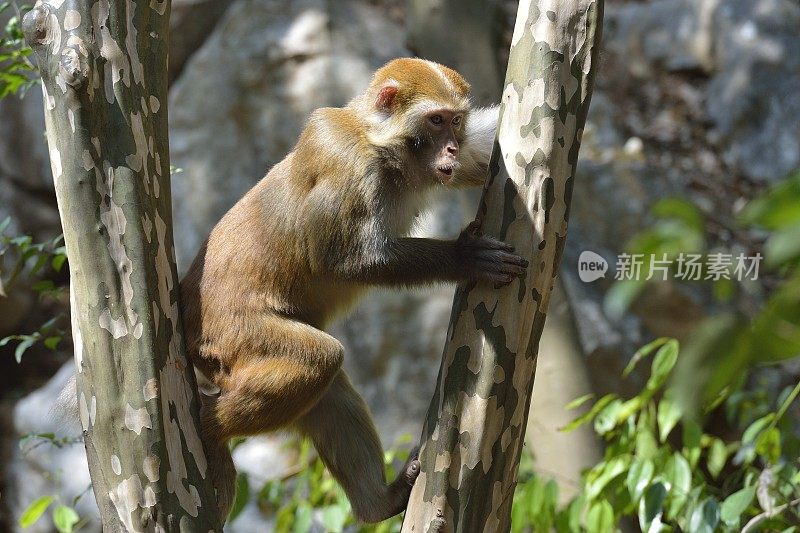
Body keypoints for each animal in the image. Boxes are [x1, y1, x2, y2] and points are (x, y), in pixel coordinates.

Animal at [180, 57, 528, 520]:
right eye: (435, 121)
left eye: (456, 121)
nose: (452, 148)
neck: (383, 147)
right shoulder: (347, 161)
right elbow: (343, 259)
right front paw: (465, 257)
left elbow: (483, 152)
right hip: (229, 335)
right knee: (319, 359)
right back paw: (209, 427)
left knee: (329, 394)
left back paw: (378, 503)